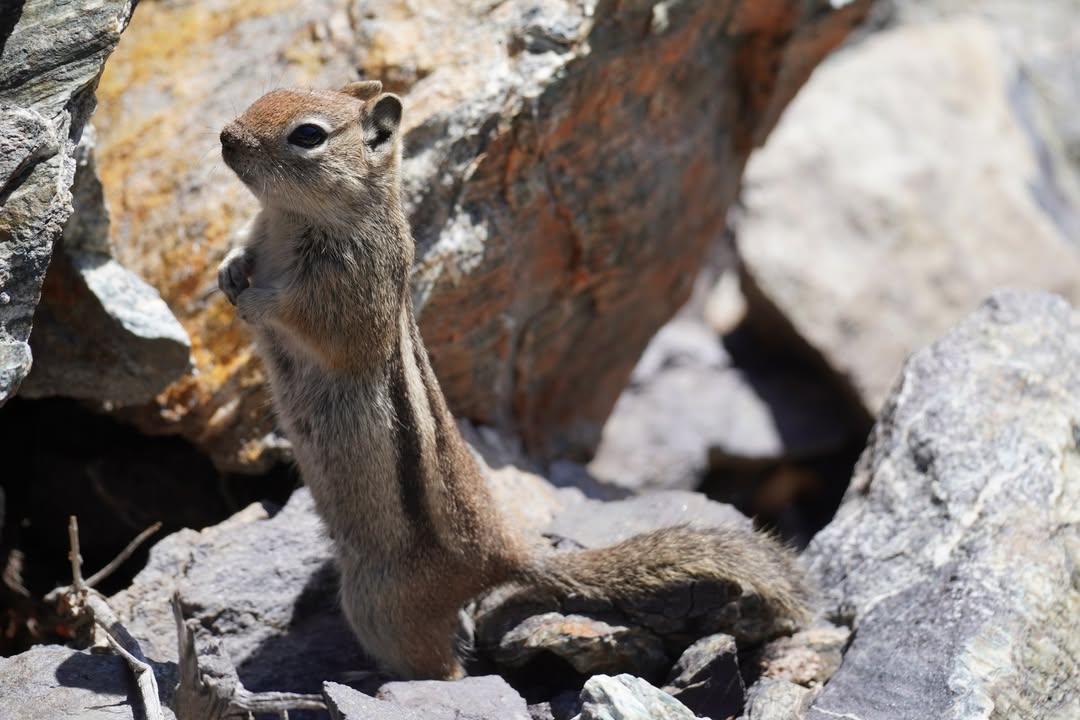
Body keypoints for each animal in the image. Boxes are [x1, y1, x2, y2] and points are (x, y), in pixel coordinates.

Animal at [216, 81, 811, 681]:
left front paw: (257, 300)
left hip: (378, 600)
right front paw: (229, 268)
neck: (290, 219)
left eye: (307, 135)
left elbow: (311, 319)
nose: (225, 136)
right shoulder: (265, 232)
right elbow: (243, 245)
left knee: (444, 670)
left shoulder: (352, 289)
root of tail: (501, 554)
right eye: (269, 93)